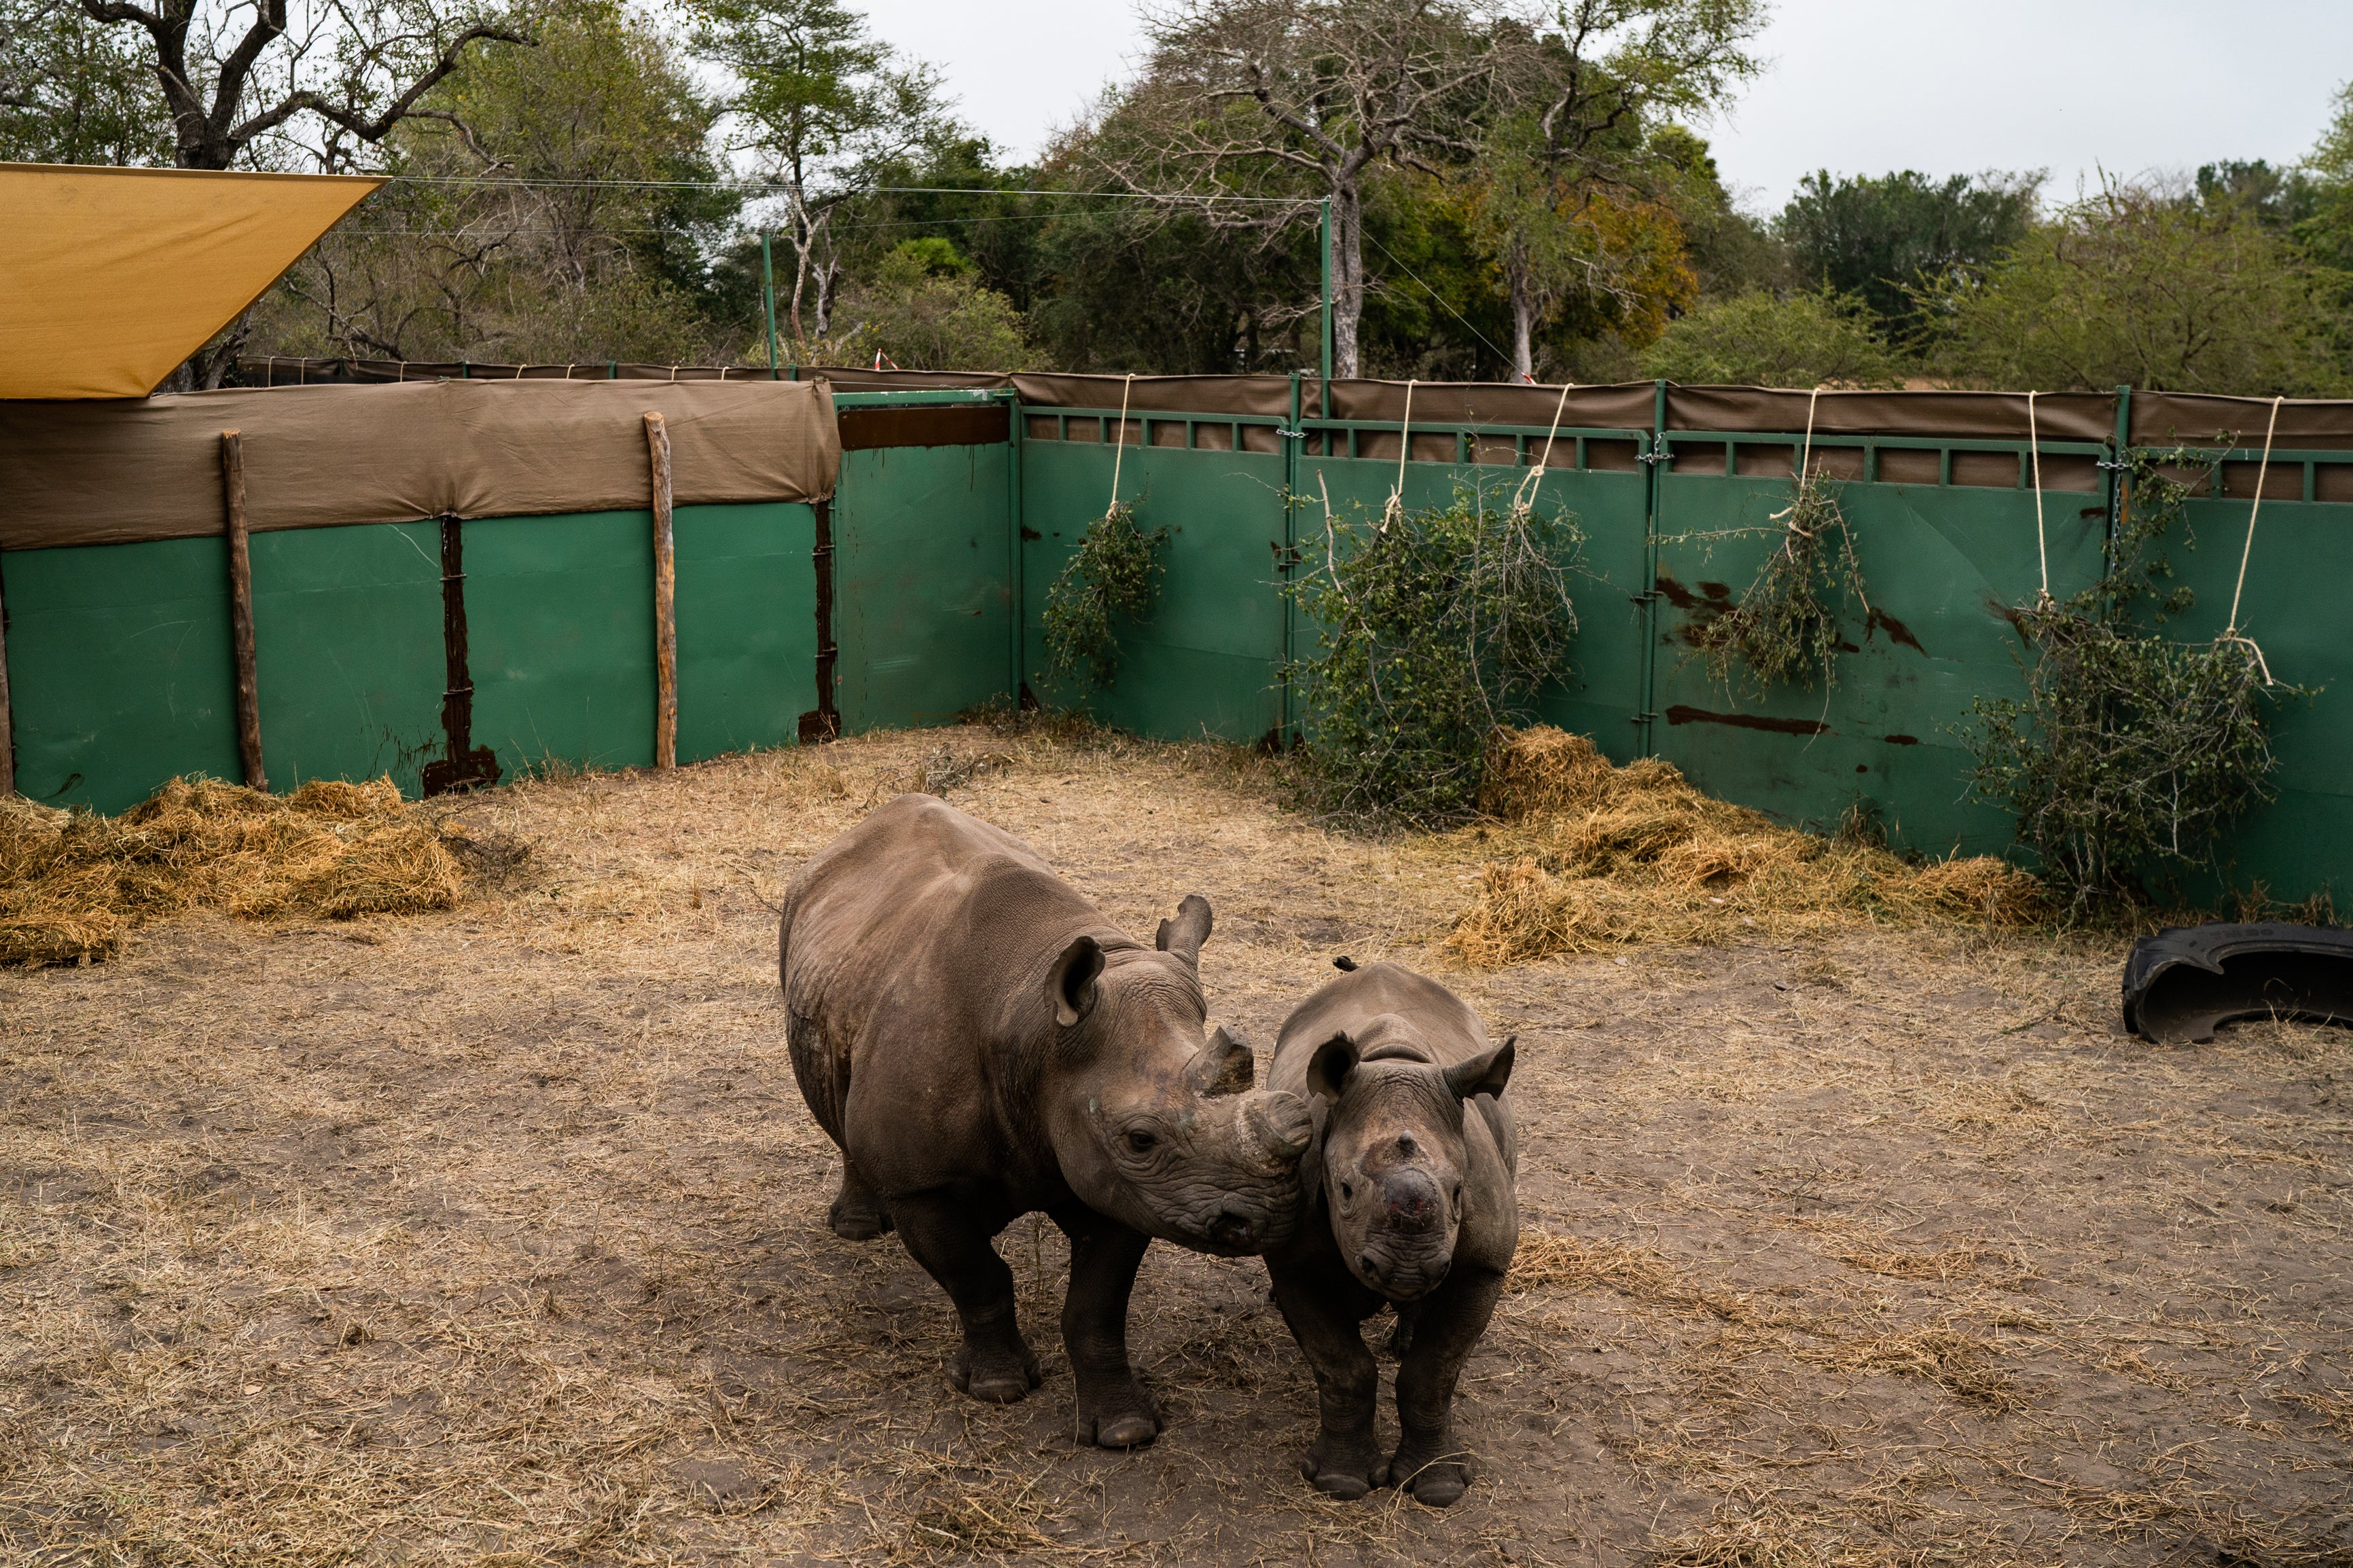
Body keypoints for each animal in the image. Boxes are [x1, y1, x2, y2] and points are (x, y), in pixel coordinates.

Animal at [781, 803, 1317, 1457]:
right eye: (1141, 1137)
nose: (1269, 1218)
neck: (1035, 1033)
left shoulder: (1124, 1184)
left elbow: (1096, 1308)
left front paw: (1125, 1430)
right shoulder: (923, 1183)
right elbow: (976, 1277)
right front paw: (999, 1388)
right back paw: (857, 1230)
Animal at [1261, 959, 1515, 1504]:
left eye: (1460, 1191)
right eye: (1344, 1190)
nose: (1407, 1269)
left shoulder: (1483, 1266)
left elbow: (1434, 1373)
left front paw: (1437, 1488)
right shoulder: (1293, 1263)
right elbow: (1341, 1367)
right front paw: (1340, 1482)